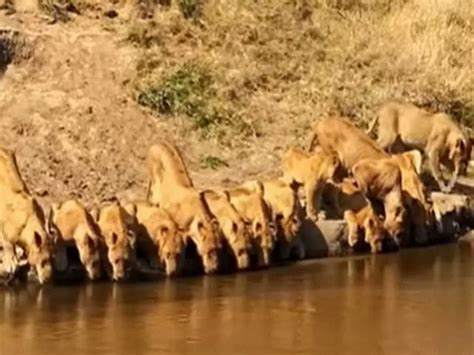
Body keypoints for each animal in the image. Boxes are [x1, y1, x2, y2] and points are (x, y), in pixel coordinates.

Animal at [0, 149, 53, 286]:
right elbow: (8, 248)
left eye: (53, 259)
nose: (48, 279)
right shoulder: (5, 230)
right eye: (44, 261)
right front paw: (10, 265)